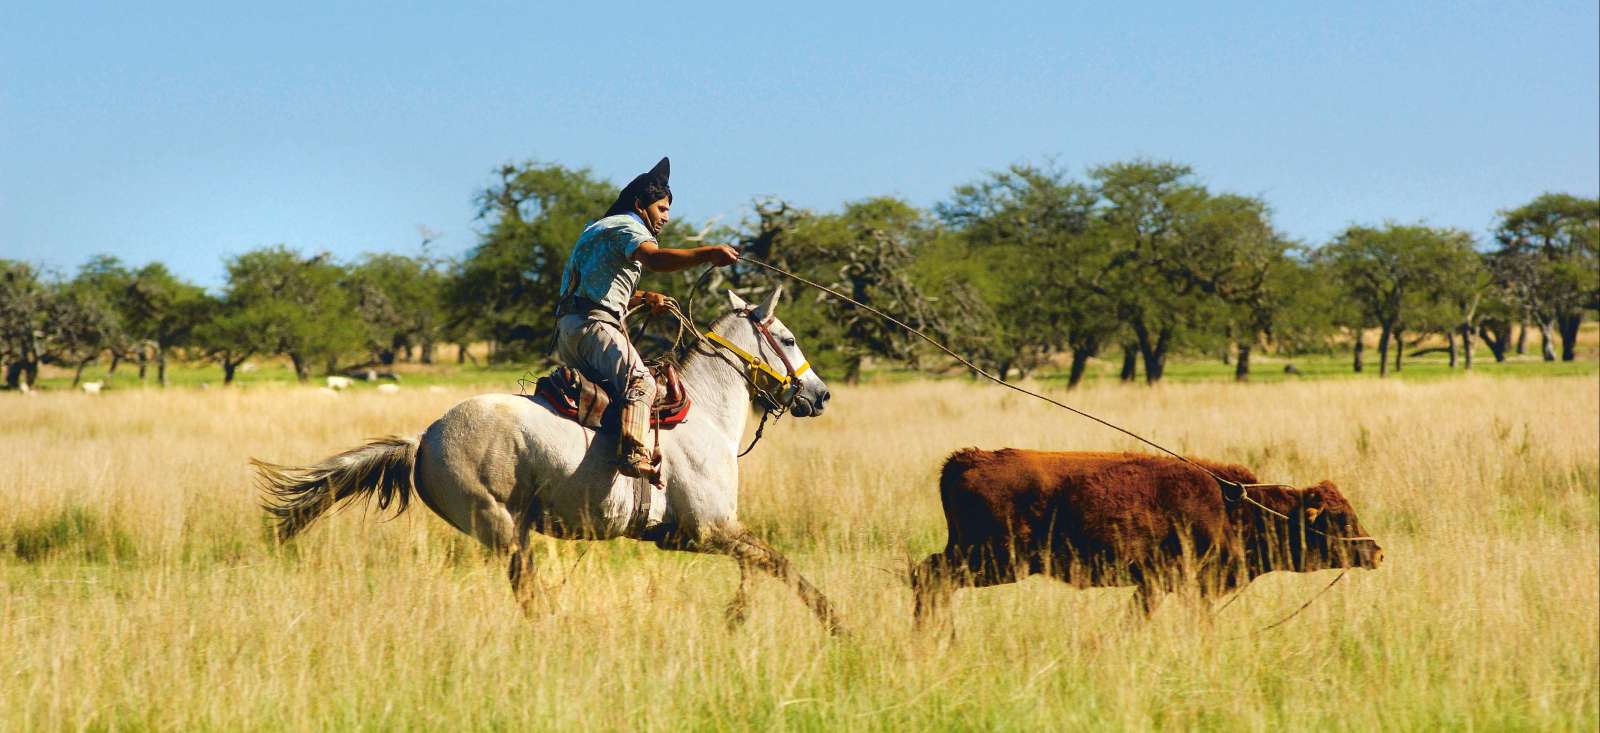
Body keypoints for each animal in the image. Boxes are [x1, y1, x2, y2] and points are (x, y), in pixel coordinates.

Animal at [256, 289, 844, 633]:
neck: (703, 415)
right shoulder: (709, 529)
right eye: (788, 337)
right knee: (529, 594)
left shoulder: (699, 535)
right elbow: (779, 564)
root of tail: (423, 439)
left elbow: (761, 564)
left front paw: (739, 617)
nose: (819, 395)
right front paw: (836, 623)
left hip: (513, 531)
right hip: (501, 528)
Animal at [921, 448, 1382, 627]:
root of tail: (965, 460)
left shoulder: (1157, 585)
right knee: (930, 578)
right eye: (1340, 519)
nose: (1377, 552)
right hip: (993, 561)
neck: (1233, 507)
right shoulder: (1177, 584)